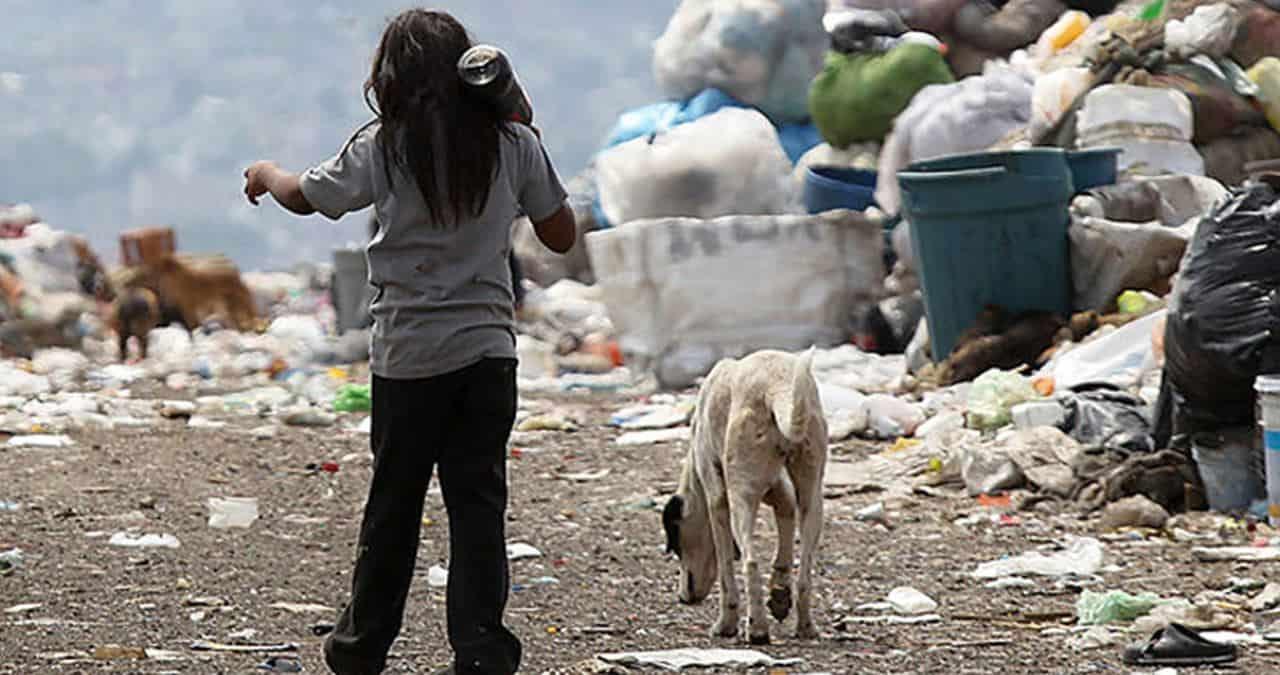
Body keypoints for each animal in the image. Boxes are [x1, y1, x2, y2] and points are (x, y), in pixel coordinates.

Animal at [660, 348, 829, 645]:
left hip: (742, 497)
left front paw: (726, 624)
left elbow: (726, 569)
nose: (683, 598)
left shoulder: (717, 500)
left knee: (750, 562)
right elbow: (785, 524)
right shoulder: (779, 490)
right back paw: (805, 626)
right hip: (812, 496)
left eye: (677, 545)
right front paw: (779, 593)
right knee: (805, 573)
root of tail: (776, 386)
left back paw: (758, 628)